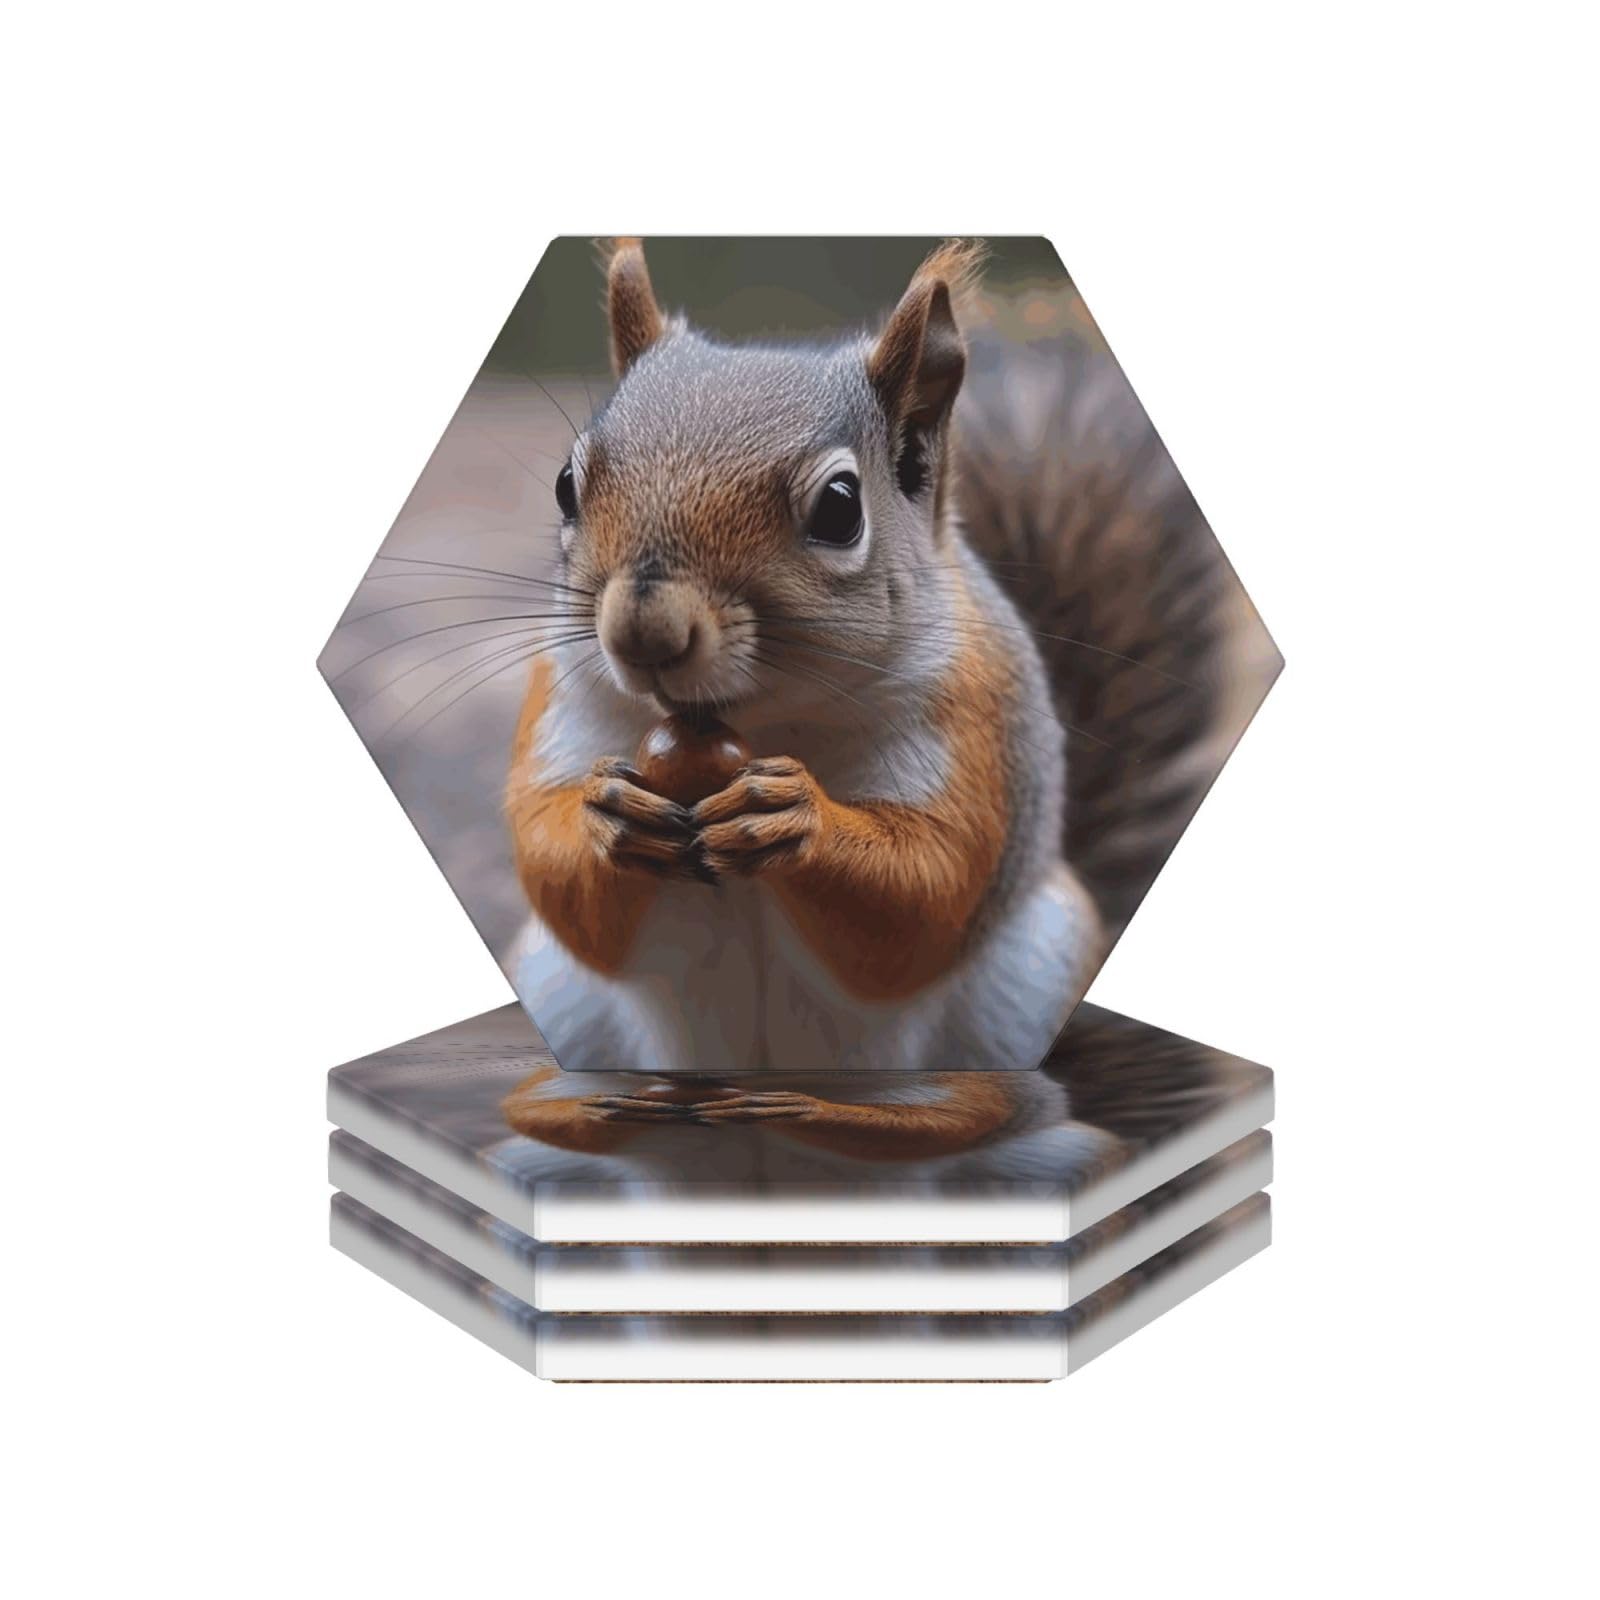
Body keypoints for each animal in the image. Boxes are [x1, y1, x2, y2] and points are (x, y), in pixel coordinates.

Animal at [501, 238, 1264, 1160]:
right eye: (564, 485)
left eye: (838, 507)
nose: (644, 633)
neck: (755, 719)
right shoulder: (563, 707)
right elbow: (552, 868)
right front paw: (607, 818)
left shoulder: (971, 722)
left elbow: (926, 892)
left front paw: (795, 819)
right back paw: (580, 1107)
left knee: (959, 1116)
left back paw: (853, 1111)